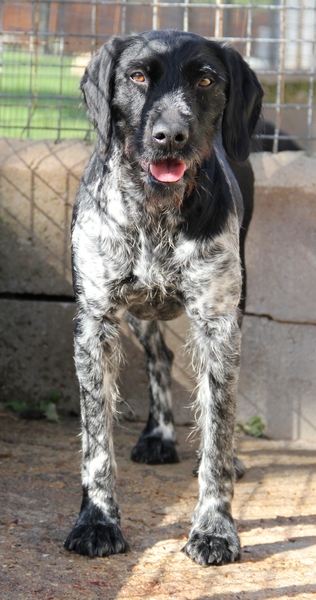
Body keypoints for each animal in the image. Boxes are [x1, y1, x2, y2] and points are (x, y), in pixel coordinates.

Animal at [63, 29, 262, 568]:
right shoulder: (95, 324)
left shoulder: (218, 324)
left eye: (206, 80)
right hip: (137, 315)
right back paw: (158, 435)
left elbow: (218, 430)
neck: (155, 215)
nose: (170, 135)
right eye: (136, 76)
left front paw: (215, 529)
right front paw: (96, 521)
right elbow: (96, 445)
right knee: (159, 358)